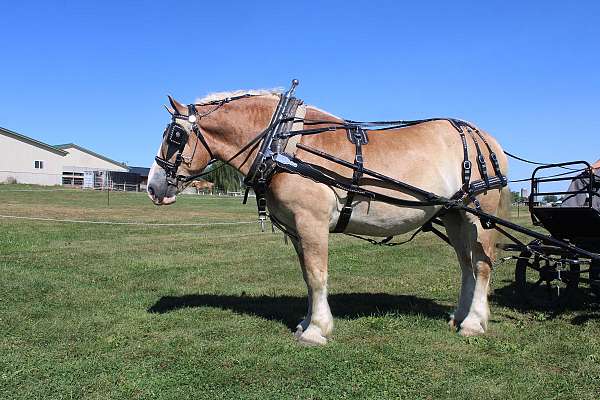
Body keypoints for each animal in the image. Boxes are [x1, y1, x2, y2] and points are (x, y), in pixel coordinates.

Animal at [145, 89, 506, 346]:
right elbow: (307, 276)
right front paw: (307, 323)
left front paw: (317, 329)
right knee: (466, 266)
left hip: (480, 216)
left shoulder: (312, 222)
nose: (152, 187)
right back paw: (459, 316)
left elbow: (317, 275)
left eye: (174, 137)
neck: (284, 144)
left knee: (482, 266)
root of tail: (486, 139)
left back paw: (473, 323)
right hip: (455, 215)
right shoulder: (297, 229)